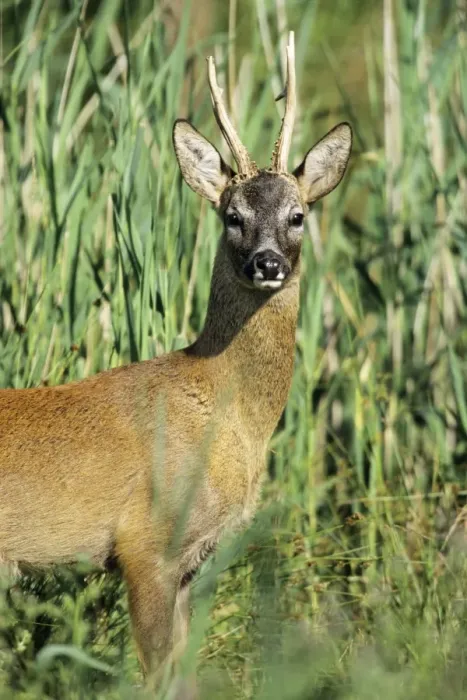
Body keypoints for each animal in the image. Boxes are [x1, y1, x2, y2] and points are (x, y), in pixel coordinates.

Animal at [0, 33, 351, 690]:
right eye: (233, 217)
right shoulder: (146, 545)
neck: (224, 413)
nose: (267, 263)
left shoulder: (190, 563)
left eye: (298, 216)